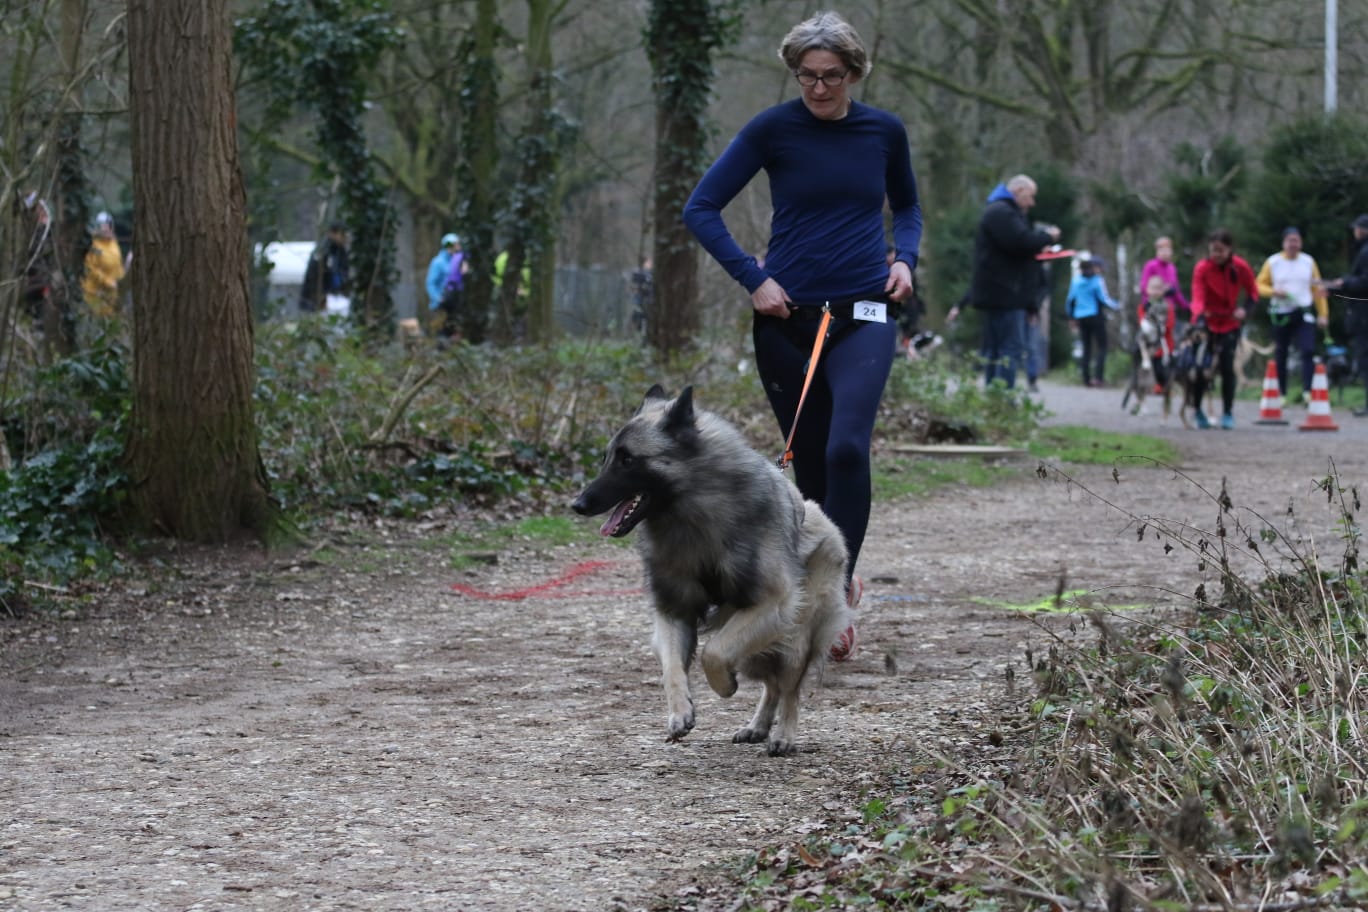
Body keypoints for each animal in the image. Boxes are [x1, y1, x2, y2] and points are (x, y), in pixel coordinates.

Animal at [571, 385, 851, 757]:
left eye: (628, 459)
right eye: (607, 458)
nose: (577, 504)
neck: (693, 511)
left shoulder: (771, 604)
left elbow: (713, 653)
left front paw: (723, 686)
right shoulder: (674, 609)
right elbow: (672, 667)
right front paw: (680, 712)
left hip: (795, 632)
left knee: (789, 688)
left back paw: (783, 736)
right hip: (758, 646)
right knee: (772, 687)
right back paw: (757, 726)